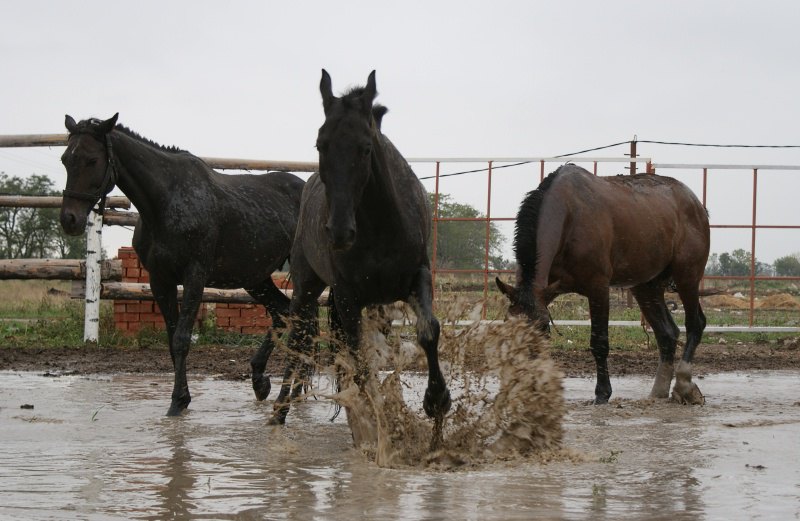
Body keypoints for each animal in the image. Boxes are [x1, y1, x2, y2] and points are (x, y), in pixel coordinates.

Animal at [59, 114, 306, 414]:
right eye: (65, 159)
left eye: (92, 160)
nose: (70, 219)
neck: (166, 202)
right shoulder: (160, 280)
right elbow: (171, 338)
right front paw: (183, 398)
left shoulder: (194, 277)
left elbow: (181, 339)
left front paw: (177, 402)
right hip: (256, 278)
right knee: (283, 312)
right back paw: (266, 382)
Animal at [270, 69, 450, 424]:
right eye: (320, 144)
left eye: (365, 148)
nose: (339, 232)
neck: (381, 228)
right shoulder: (346, 296)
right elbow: (360, 362)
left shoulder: (418, 277)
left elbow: (428, 330)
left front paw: (437, 400)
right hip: (307, 288)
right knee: (297, 340)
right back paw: (279, 410)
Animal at [496, 165, 708, 404]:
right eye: (507, 324)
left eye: (543, 326)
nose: (524, 376)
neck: (570, 216)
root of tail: (695, 204)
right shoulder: (547, 291)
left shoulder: (598, 288)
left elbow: (599, 343)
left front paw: (602, 393)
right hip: (646, 287)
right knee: (667, 333)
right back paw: (658, 392)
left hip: (687, 276)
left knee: (695, 324)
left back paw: (684, 384)